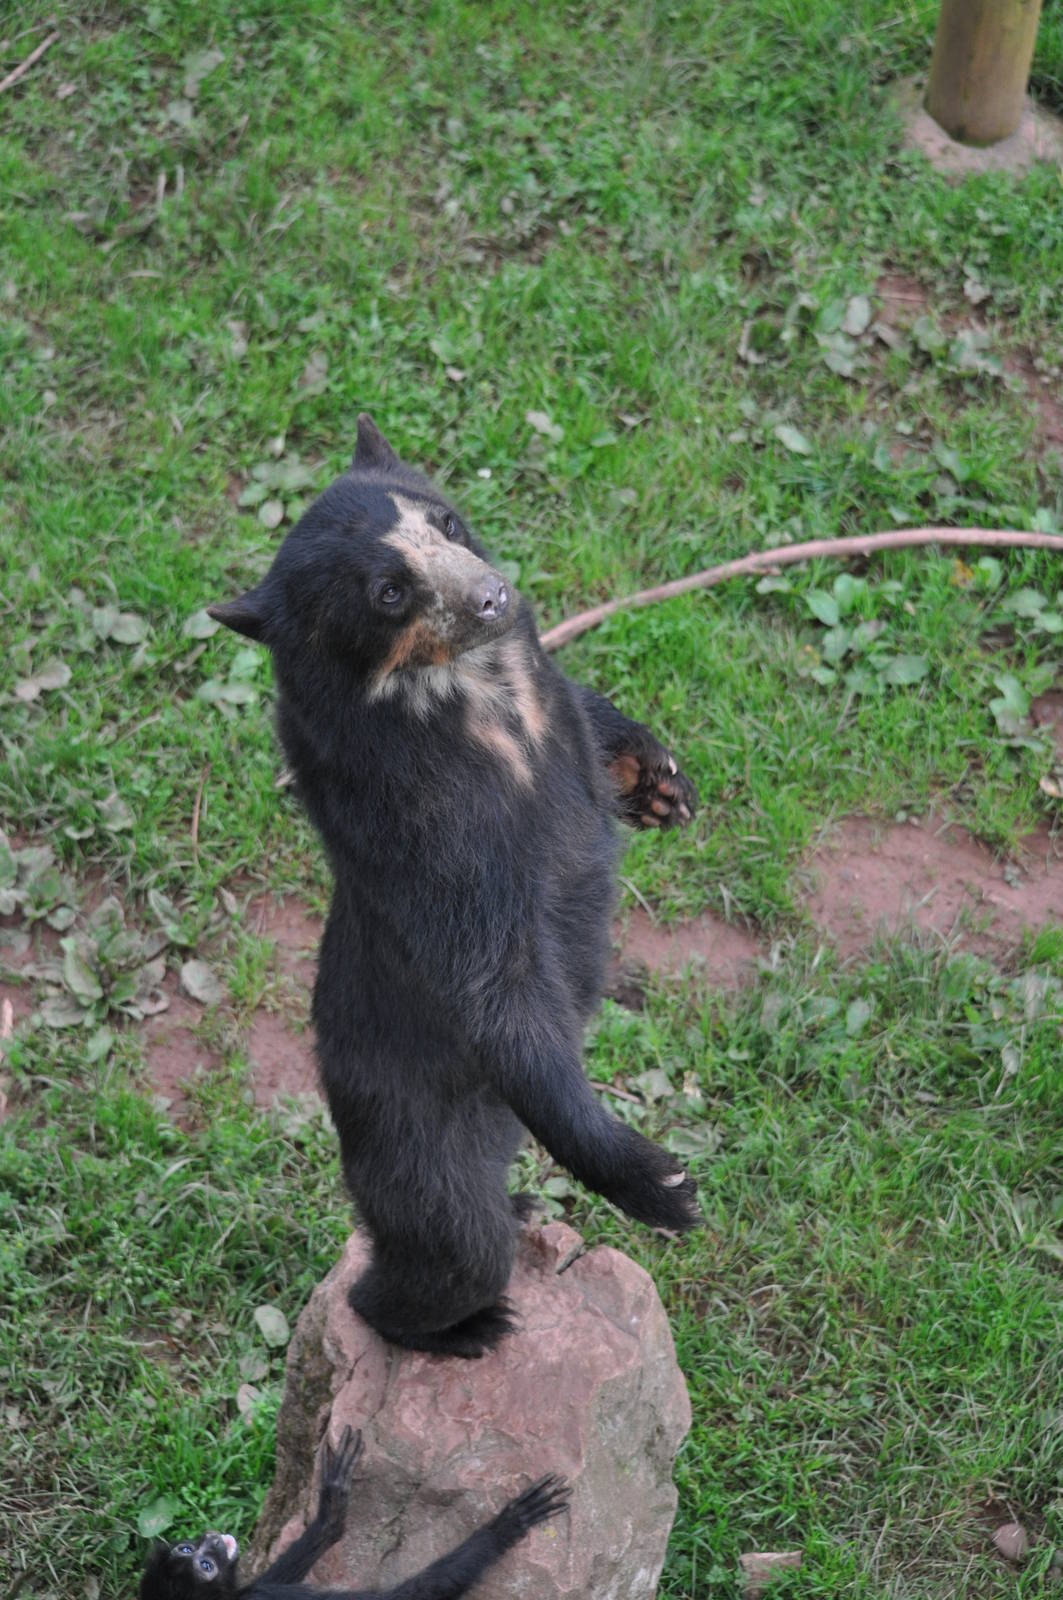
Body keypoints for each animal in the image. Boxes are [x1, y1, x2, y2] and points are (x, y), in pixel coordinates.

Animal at [209, 415, 702, 1359]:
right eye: (388, 592)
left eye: (445, 521)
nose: (492, 597)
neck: (481, 698)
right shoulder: (435, 842)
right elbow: (500, 993)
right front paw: (663, 1184)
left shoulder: (554, 709)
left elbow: (590, 713)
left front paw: (659, 784)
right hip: (413, 1133)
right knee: (451, 1246)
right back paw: (459, 1325)